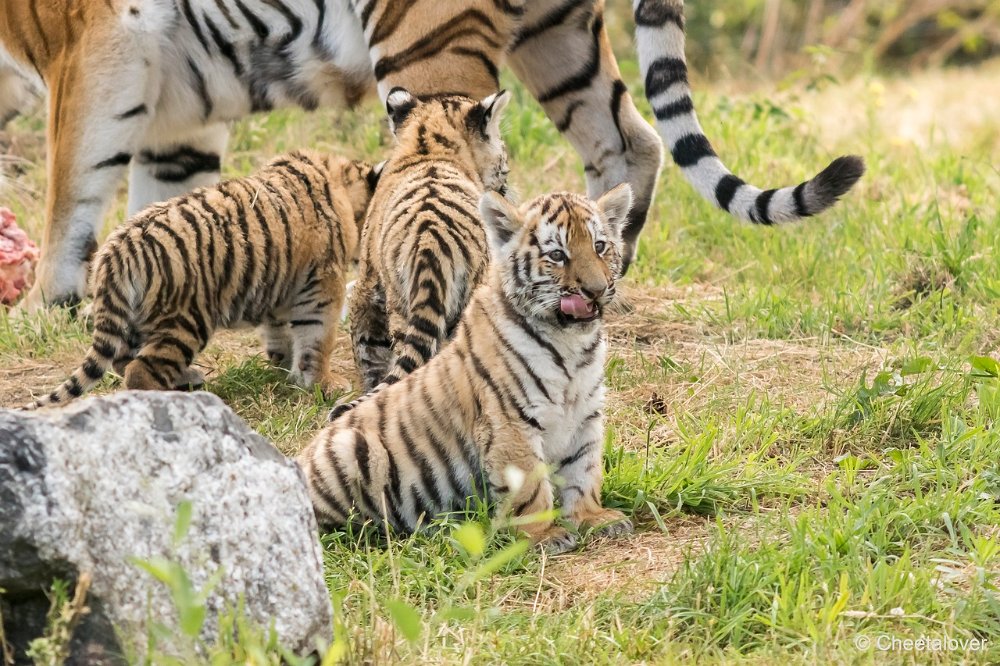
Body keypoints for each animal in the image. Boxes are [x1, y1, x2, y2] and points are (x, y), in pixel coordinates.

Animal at [0, 0, 864, 312]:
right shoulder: (179, 113)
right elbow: (162, 205)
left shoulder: (91, 45)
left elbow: (73, 190)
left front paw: (49, 307)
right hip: (561, 35)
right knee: (632, 140)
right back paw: (605, 281)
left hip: (425, 43)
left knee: (469, 173)